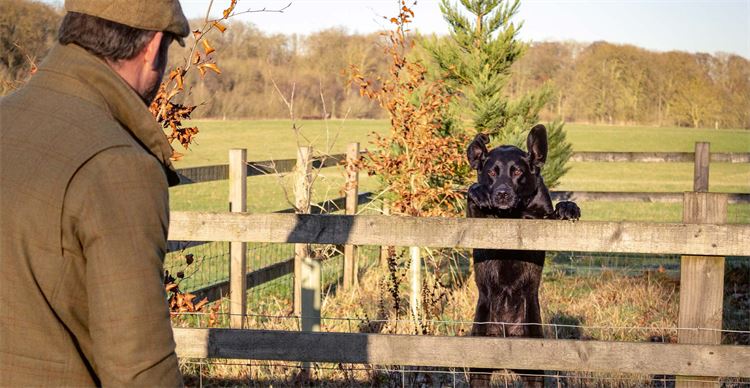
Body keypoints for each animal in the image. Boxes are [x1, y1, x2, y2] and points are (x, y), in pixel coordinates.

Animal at [464, 126, 580, 386]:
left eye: (517, 171)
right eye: (491, 172)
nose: (502, 194)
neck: (513, 214)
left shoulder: (540, 224)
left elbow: (552, 213)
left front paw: (568, 207)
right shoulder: (477, 225)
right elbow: (474, 201)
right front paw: (477, 192)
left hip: (534, 363)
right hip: (479, 360)